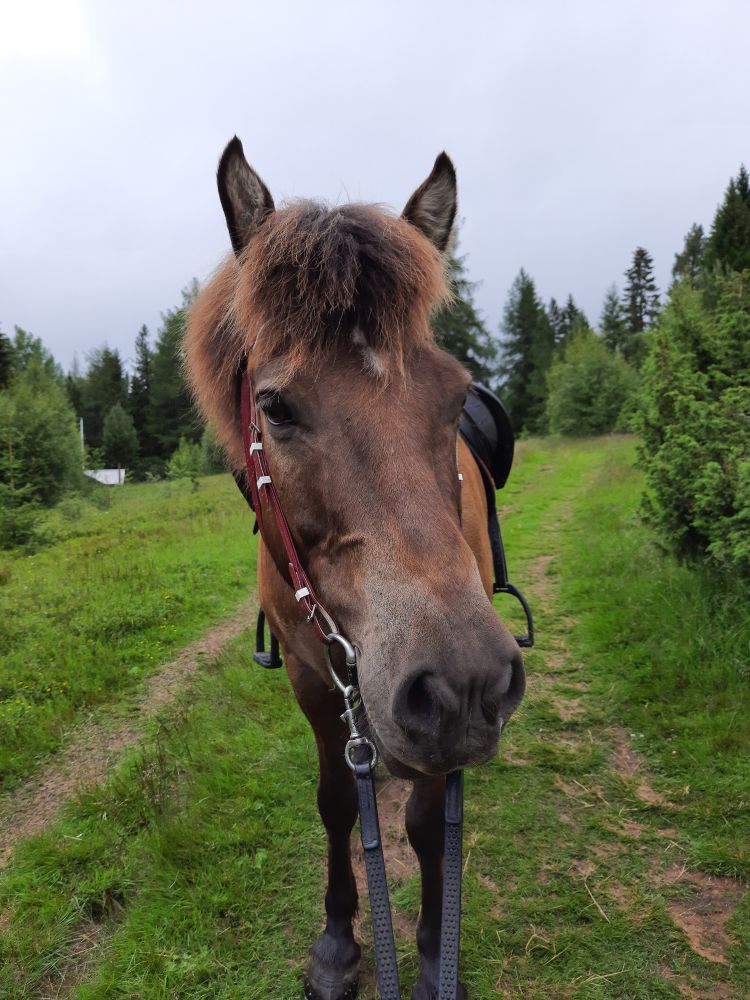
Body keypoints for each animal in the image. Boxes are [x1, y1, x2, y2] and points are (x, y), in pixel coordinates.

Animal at [184, 137, 526, 1000]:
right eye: (275, 407)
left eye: (456, 397)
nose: (464, 681)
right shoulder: (312, 678)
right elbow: (338, 801)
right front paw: (339, 941)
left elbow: (428, 821)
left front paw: (435, 949)